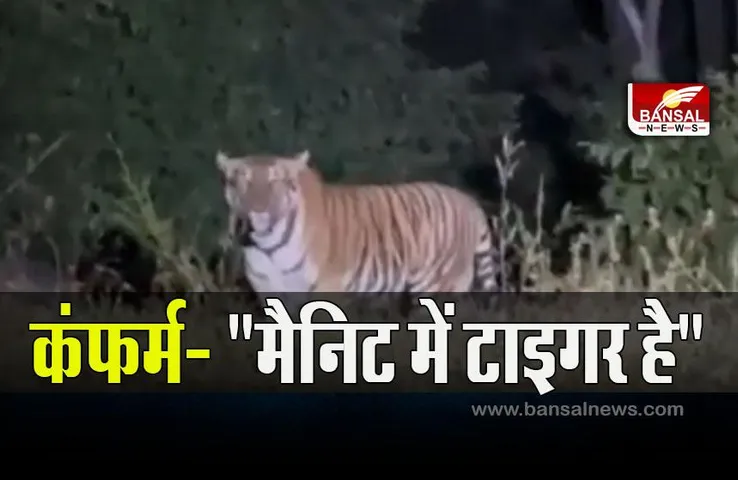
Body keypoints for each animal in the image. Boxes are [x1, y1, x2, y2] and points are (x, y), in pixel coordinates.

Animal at [216, 150, 501, 295]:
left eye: (275, 181)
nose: (257, 209)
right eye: (240, 181)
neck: (267, 244)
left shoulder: (327, 286)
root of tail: (469, 201)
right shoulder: (269, 290)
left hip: (440, 283)